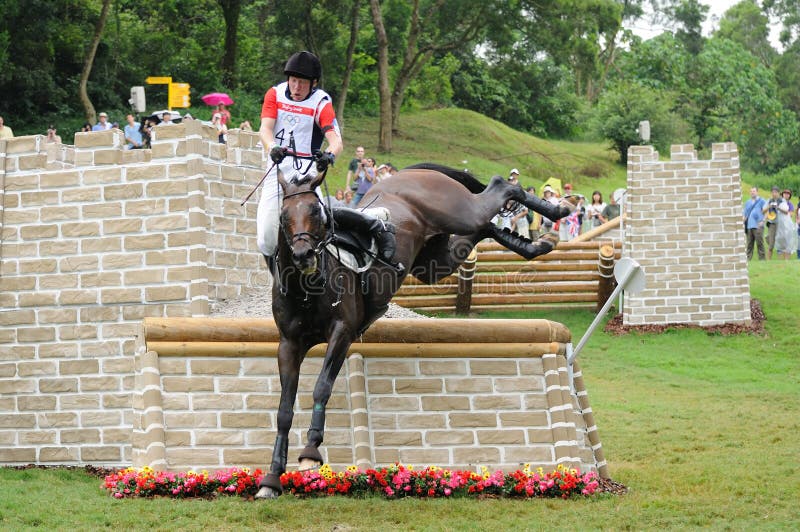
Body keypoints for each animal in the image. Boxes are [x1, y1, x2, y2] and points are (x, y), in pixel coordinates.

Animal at [255, 162, 577, 499]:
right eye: (283, 216)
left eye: (317, 213)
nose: (304, 256)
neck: (306, 287)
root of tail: (410, 173)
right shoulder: (289, 345)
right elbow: (284, 409)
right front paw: (272, 478)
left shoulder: (341, 333)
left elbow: (322, 387)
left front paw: (310, 451)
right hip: (434, 262)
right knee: (485, 228)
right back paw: (534, 243)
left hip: (460, 213)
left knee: (500, 188)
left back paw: (556, 210)